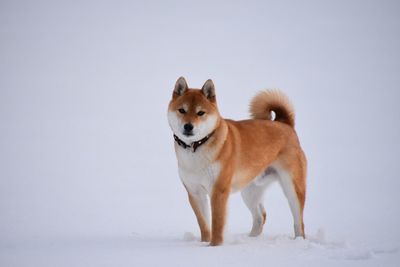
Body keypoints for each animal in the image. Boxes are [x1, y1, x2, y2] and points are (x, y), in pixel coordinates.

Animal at [167, 77, 308, 247]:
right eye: (182, 110)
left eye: (201, 113)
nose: (188, 126)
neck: (196, 148)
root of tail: (285, 124)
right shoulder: (195, 193)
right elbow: (204, 224)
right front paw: (204, 242)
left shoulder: (219, 190)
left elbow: (217, 223)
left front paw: (214, 246)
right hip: (250, 192)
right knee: (260, 217)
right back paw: (250, 239)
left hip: (292, 189)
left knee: (298, 222)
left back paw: (299, 241)